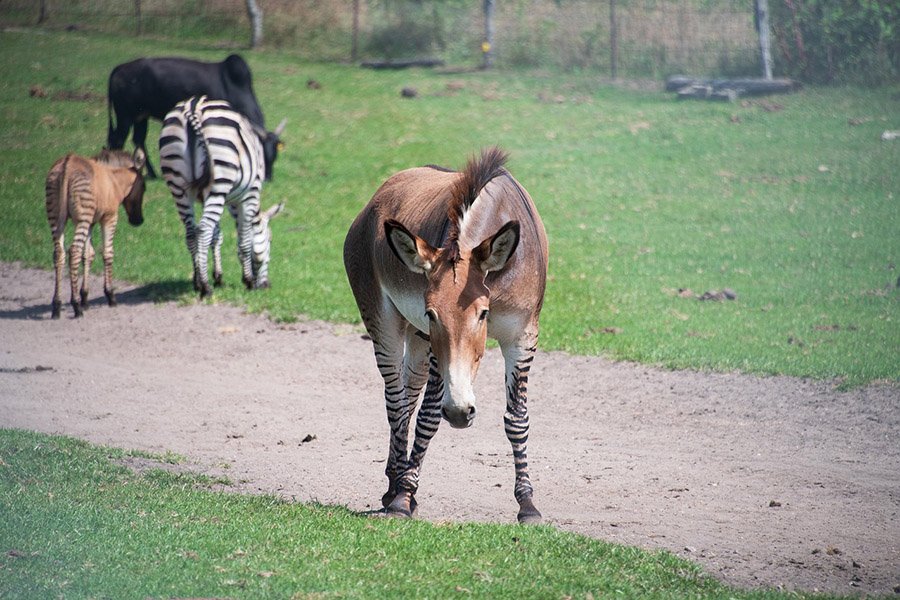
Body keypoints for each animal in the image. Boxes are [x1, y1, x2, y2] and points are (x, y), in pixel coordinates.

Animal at [107, 55, 286, 179]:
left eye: (274, 155)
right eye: (260, 154)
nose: (268, 178)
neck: (232, 88)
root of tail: (119, 68)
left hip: (141, 116)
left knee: (138, 139)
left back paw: (151, 173)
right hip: (125, 115)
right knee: (118, 139)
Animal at [159, 95, 282, 298]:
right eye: (270, 239)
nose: (266, 286)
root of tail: (193, 107)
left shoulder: (210, 197)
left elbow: (217, 235)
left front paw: (218, 276)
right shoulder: (249, 194)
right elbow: (245, 240)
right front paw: (248, 280)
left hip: (178, 185)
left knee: (192, 232)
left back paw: (197, 282)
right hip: (220, 177)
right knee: (203, 229)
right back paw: (205, 287)